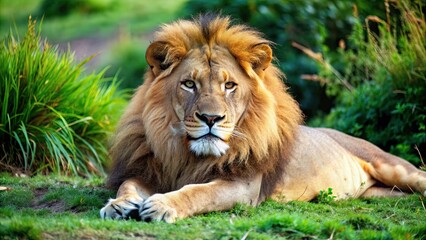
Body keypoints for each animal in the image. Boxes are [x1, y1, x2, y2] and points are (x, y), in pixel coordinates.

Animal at [99, 14, 426, 222]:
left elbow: (199, 192)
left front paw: (163, 204)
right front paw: (119, 204)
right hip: (381, 194)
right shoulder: (149, 168)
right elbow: (127, 184)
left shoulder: (242, 186)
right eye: (189, 84)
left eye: (229, 86)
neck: (185, 154)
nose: (210, 118)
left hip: (393, 166)